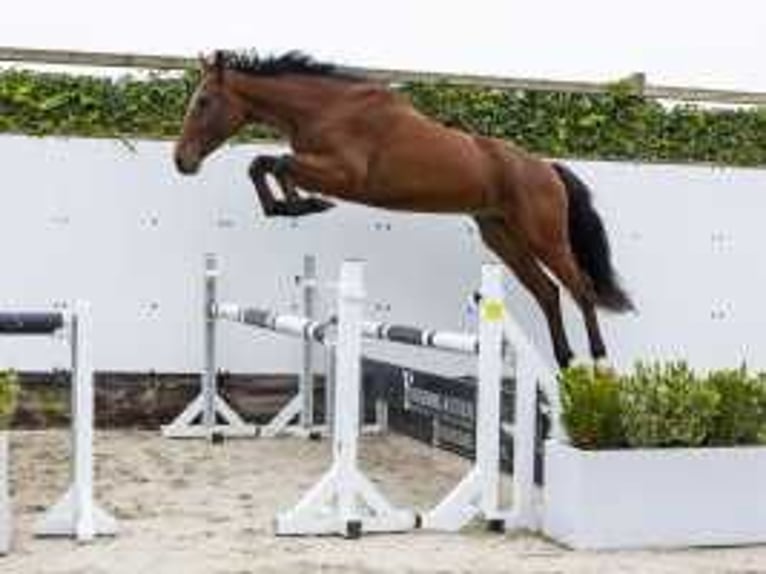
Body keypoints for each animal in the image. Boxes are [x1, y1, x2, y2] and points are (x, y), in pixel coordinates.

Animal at [176, 51, 636, 372]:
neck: (327, 108)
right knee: (548, 292)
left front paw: (303, 204)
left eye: (204, 102)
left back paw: (598, 362)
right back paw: (565, 362)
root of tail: (546, 167)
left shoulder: (345, 175)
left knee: (581, 289)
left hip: (544, 236)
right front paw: (291, 206)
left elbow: (278, 163)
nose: (182, 161)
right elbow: (264, 164)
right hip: (503, 237)